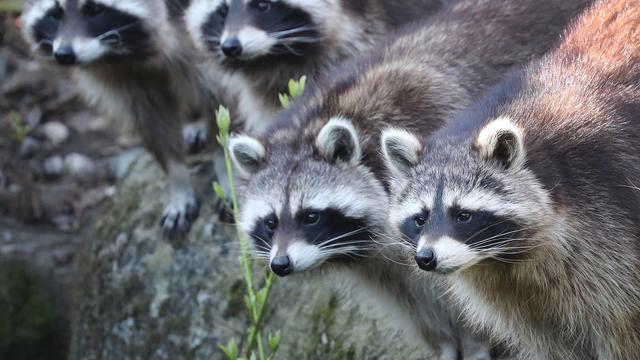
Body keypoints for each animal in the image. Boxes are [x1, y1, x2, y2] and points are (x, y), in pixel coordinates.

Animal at [20, 0, 228, 238]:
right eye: (55, 13)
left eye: (94, 10)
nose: (64, 54)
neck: (121, 54)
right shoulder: (127, 80)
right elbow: (153, 125)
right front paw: (178, 183)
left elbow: (220, 100)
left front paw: (226, 175)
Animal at [228, 0, 592, 356]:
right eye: (270, 222)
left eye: (310, 216)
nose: (280, 264)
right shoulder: (382, 267)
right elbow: (415, 306)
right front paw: (445, 344)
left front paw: (475, 345)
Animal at [382, 0, 640, 358]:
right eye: (420, 218)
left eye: (463, 215)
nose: (426, 258)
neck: (503, 260)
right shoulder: (516, 302)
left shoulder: (610, 229)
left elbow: (623, 330)